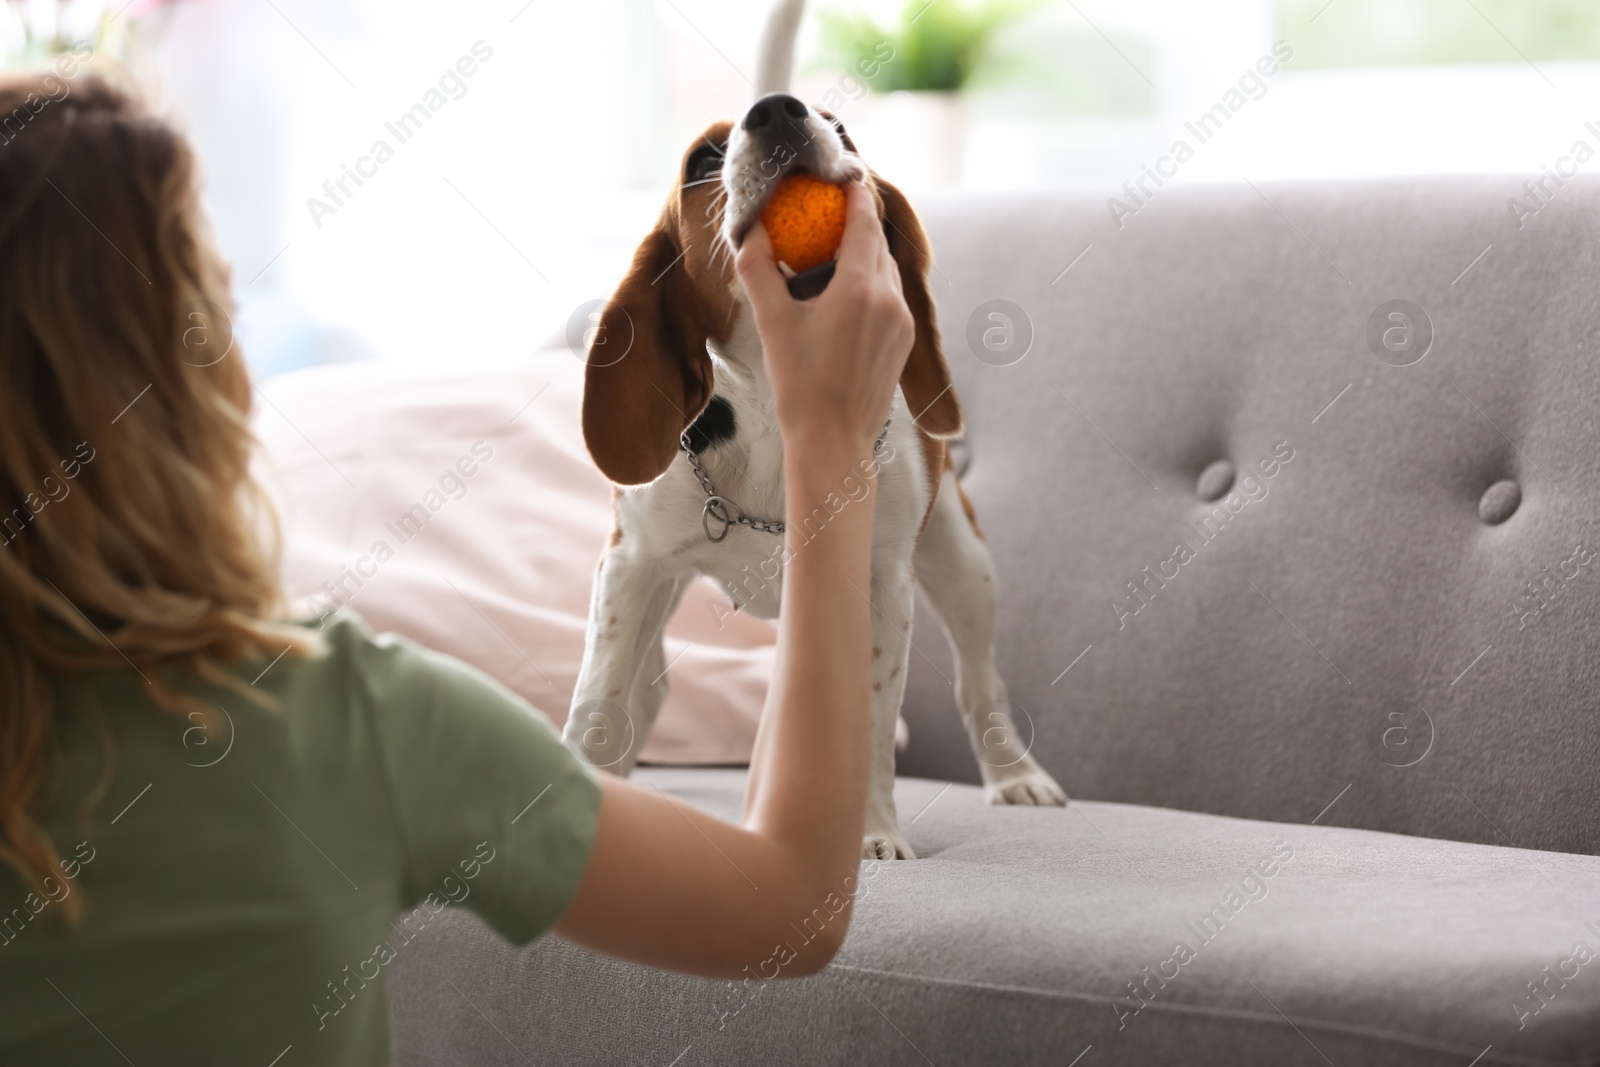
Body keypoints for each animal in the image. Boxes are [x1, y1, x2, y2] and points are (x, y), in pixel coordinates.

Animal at [560, 54, 1062, 870]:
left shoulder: (881, 581)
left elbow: (872, 721)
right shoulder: (630, 567)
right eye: (702, 162)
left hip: (965, 563)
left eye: (843, 129)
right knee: (646, 691)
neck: (778, 406)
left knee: (979, 681)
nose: (778, 111)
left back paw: (1015, 773)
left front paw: (871, 832)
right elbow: (599, 704)